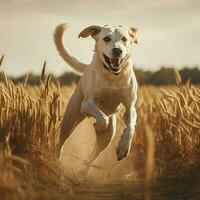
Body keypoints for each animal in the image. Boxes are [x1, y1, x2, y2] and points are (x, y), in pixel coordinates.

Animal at [53, 23, 138, 164]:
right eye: (106, 38)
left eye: (124, 39)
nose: (117, 51)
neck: (112, 76)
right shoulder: (86, 104)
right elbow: (102, 118)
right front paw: (98, 125)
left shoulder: (130, 107)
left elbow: (130, 127)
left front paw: (123, 147)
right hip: (69, 121)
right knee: (60, 143)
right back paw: (56, 160)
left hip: (108, 137)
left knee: (91, 159)